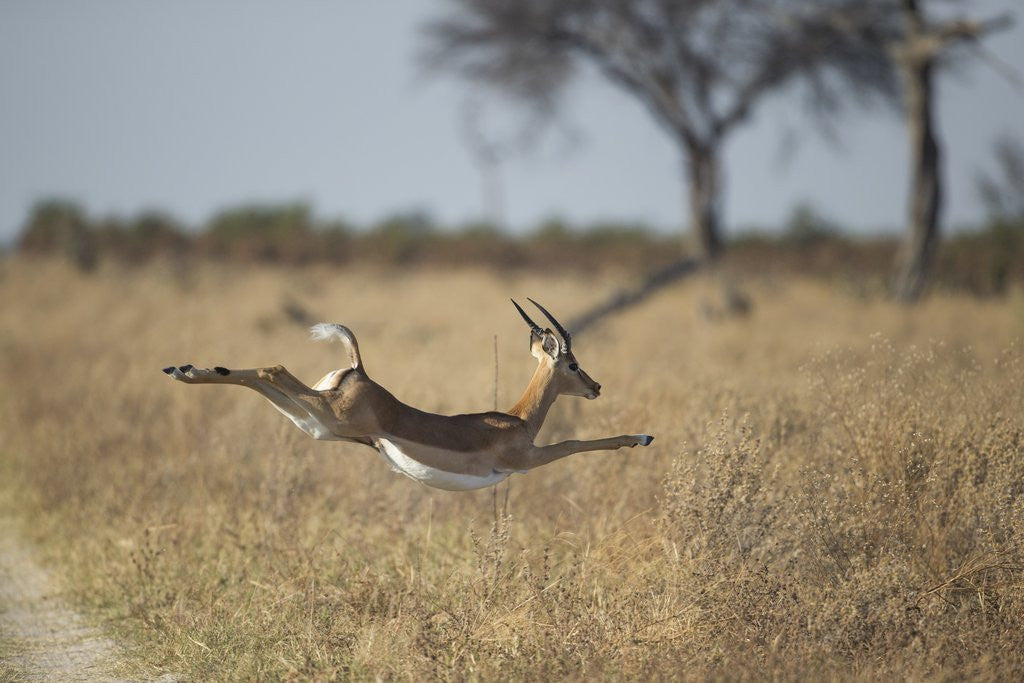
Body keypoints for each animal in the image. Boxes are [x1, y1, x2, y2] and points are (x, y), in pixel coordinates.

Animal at [163, 299, 653, 490]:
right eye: (572, 364)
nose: (595, 386)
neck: (517, 420)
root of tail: (358, 369)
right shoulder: (525, 459)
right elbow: (574, 441)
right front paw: (641, 438)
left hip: (316, 423)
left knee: (261, 378)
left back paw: (183, 369)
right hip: (330, 417)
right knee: (274, 367)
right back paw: (182, 370)